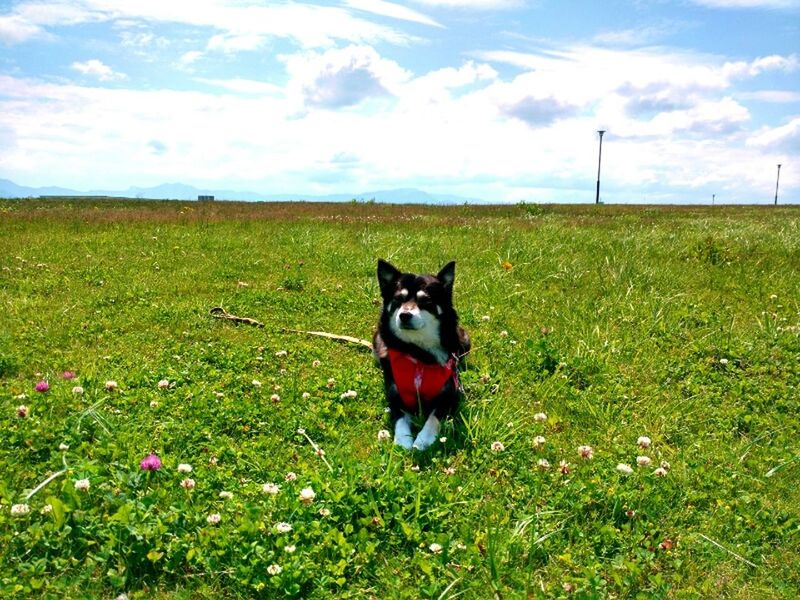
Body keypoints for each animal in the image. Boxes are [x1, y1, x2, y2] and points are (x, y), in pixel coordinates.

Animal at [374, 258, 468, 450]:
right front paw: (403, 440)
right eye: (398, 299)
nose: (404, 315)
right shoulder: (395, 394)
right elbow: (400, 419)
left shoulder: (449, 395)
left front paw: (423, 439)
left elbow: (433, 418)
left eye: (426, 301)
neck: (418, 353)